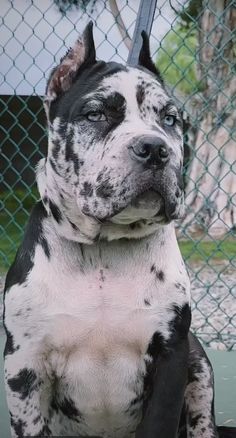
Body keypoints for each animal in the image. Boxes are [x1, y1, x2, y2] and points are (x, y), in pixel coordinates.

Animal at [3, 22, 236, 438]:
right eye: (95, 114)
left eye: (170, 119)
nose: (155, 148)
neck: (103, 252)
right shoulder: (23, 367)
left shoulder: (171, 357)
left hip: (199, 364)